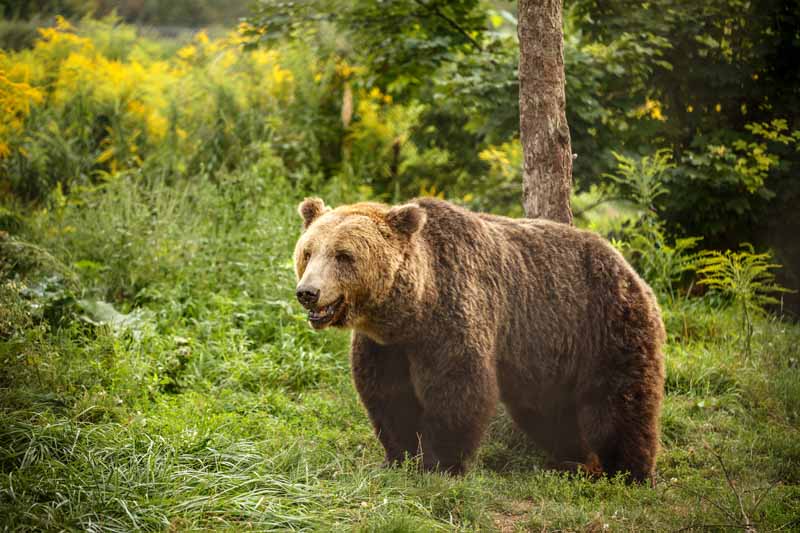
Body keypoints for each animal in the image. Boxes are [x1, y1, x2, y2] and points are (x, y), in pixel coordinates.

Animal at [290, 197, 664, 480]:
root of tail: (628, 265)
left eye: (344, 255)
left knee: (619, 403)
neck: (412, 309)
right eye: (308, 252)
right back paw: (574, 459)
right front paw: (398, 457)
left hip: (605, 325)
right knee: (549, 411)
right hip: (548, 353)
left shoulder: (452, 318)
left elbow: (458, 390)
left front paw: (440, 464)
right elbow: (388, 396)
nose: (308, 292)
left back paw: (628, 471)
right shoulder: (386, 346)